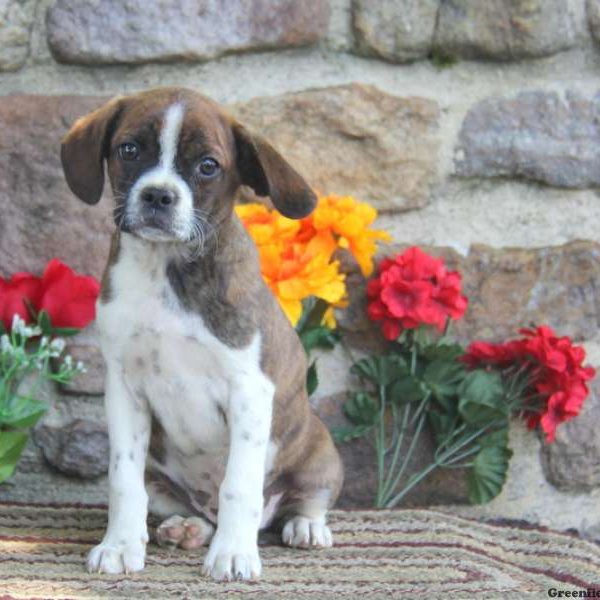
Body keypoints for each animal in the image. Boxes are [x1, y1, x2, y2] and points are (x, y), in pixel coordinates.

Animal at [61, 88, 344, 580]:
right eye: (129, 150)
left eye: (208, 165)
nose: (158, 195)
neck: (167, 268)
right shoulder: (124, 388)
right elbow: (122, 479)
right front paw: (119, 545)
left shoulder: (249, 390)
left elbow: (239, 485)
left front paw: (233, 554)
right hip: (161, 477)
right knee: (188, 507)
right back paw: (189, 528)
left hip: (319, 450)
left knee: (303, 499)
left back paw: (305, 526)